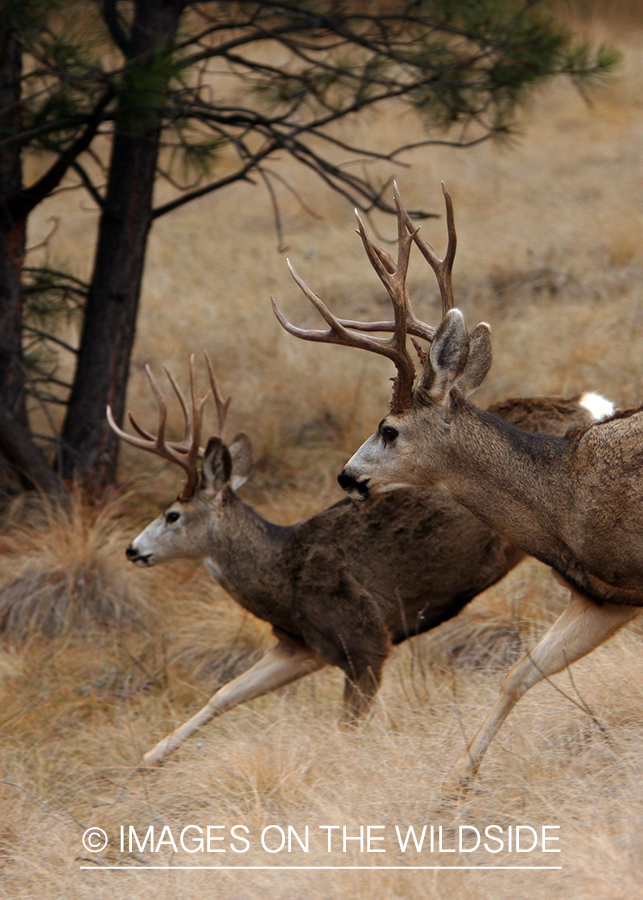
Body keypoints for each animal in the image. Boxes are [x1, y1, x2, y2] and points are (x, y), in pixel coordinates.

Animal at [108, 355, 607, 768]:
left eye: (172, 514)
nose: (132, 549)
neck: (282, 573)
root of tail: (586, 403)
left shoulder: (365, 638)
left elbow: (347, 728)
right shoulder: (302, 646)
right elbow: (224, 694)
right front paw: (149, 759)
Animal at [271, 181, 639, 797]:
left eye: (388, 429)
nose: (346, 476)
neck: (565, 500)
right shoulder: (603, 596)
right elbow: (519, 673)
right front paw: (454, 783)